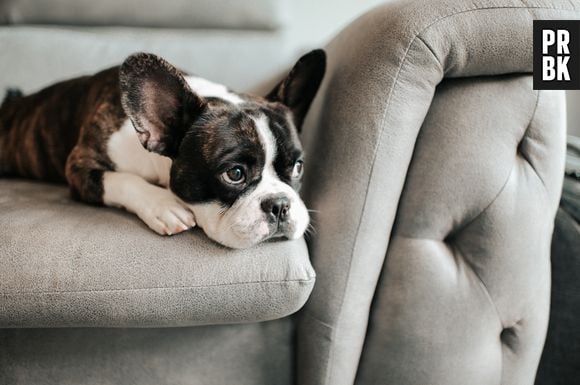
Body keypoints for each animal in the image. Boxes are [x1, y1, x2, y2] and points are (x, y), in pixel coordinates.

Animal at [0, 49, 326, 248]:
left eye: (298, 167)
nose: (280, 204)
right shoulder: (80, 165)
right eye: (234, 174)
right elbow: (122, 179)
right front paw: (163, 205)